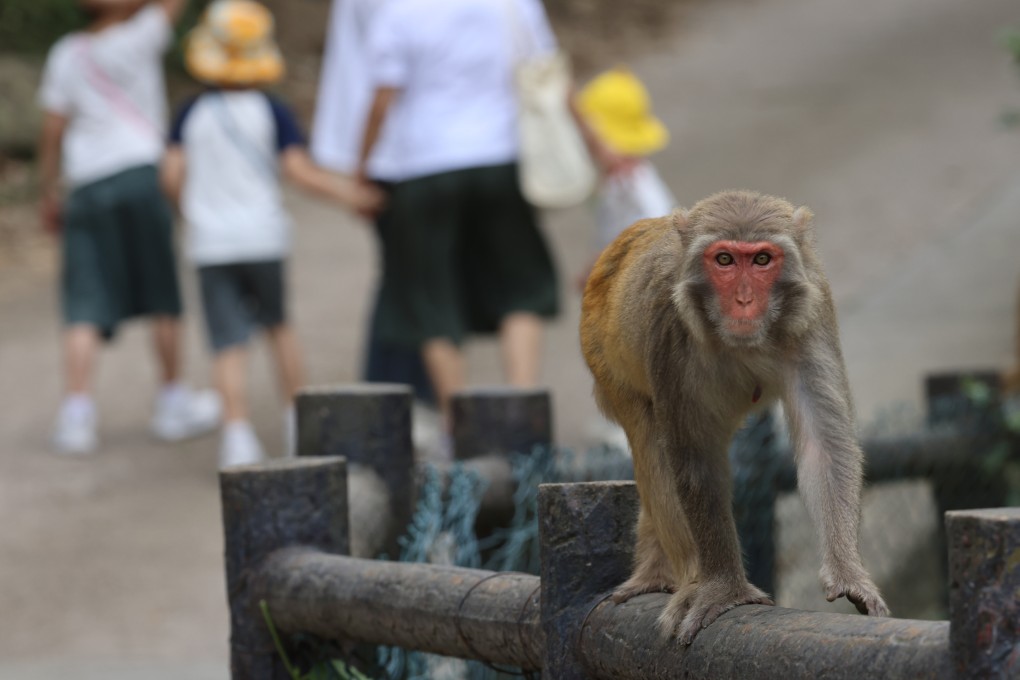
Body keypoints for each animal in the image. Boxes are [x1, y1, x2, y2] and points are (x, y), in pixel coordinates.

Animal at [580, 190, 889, 644]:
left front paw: (849, 574)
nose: (744, 301)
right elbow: (694, 464)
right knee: (653, 445)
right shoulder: (667, 325)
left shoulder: (813, 309)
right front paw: (723, 589)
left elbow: (825, 445)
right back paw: (685, 580)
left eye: (762, 260)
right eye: (724, 260)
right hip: (604, 359)